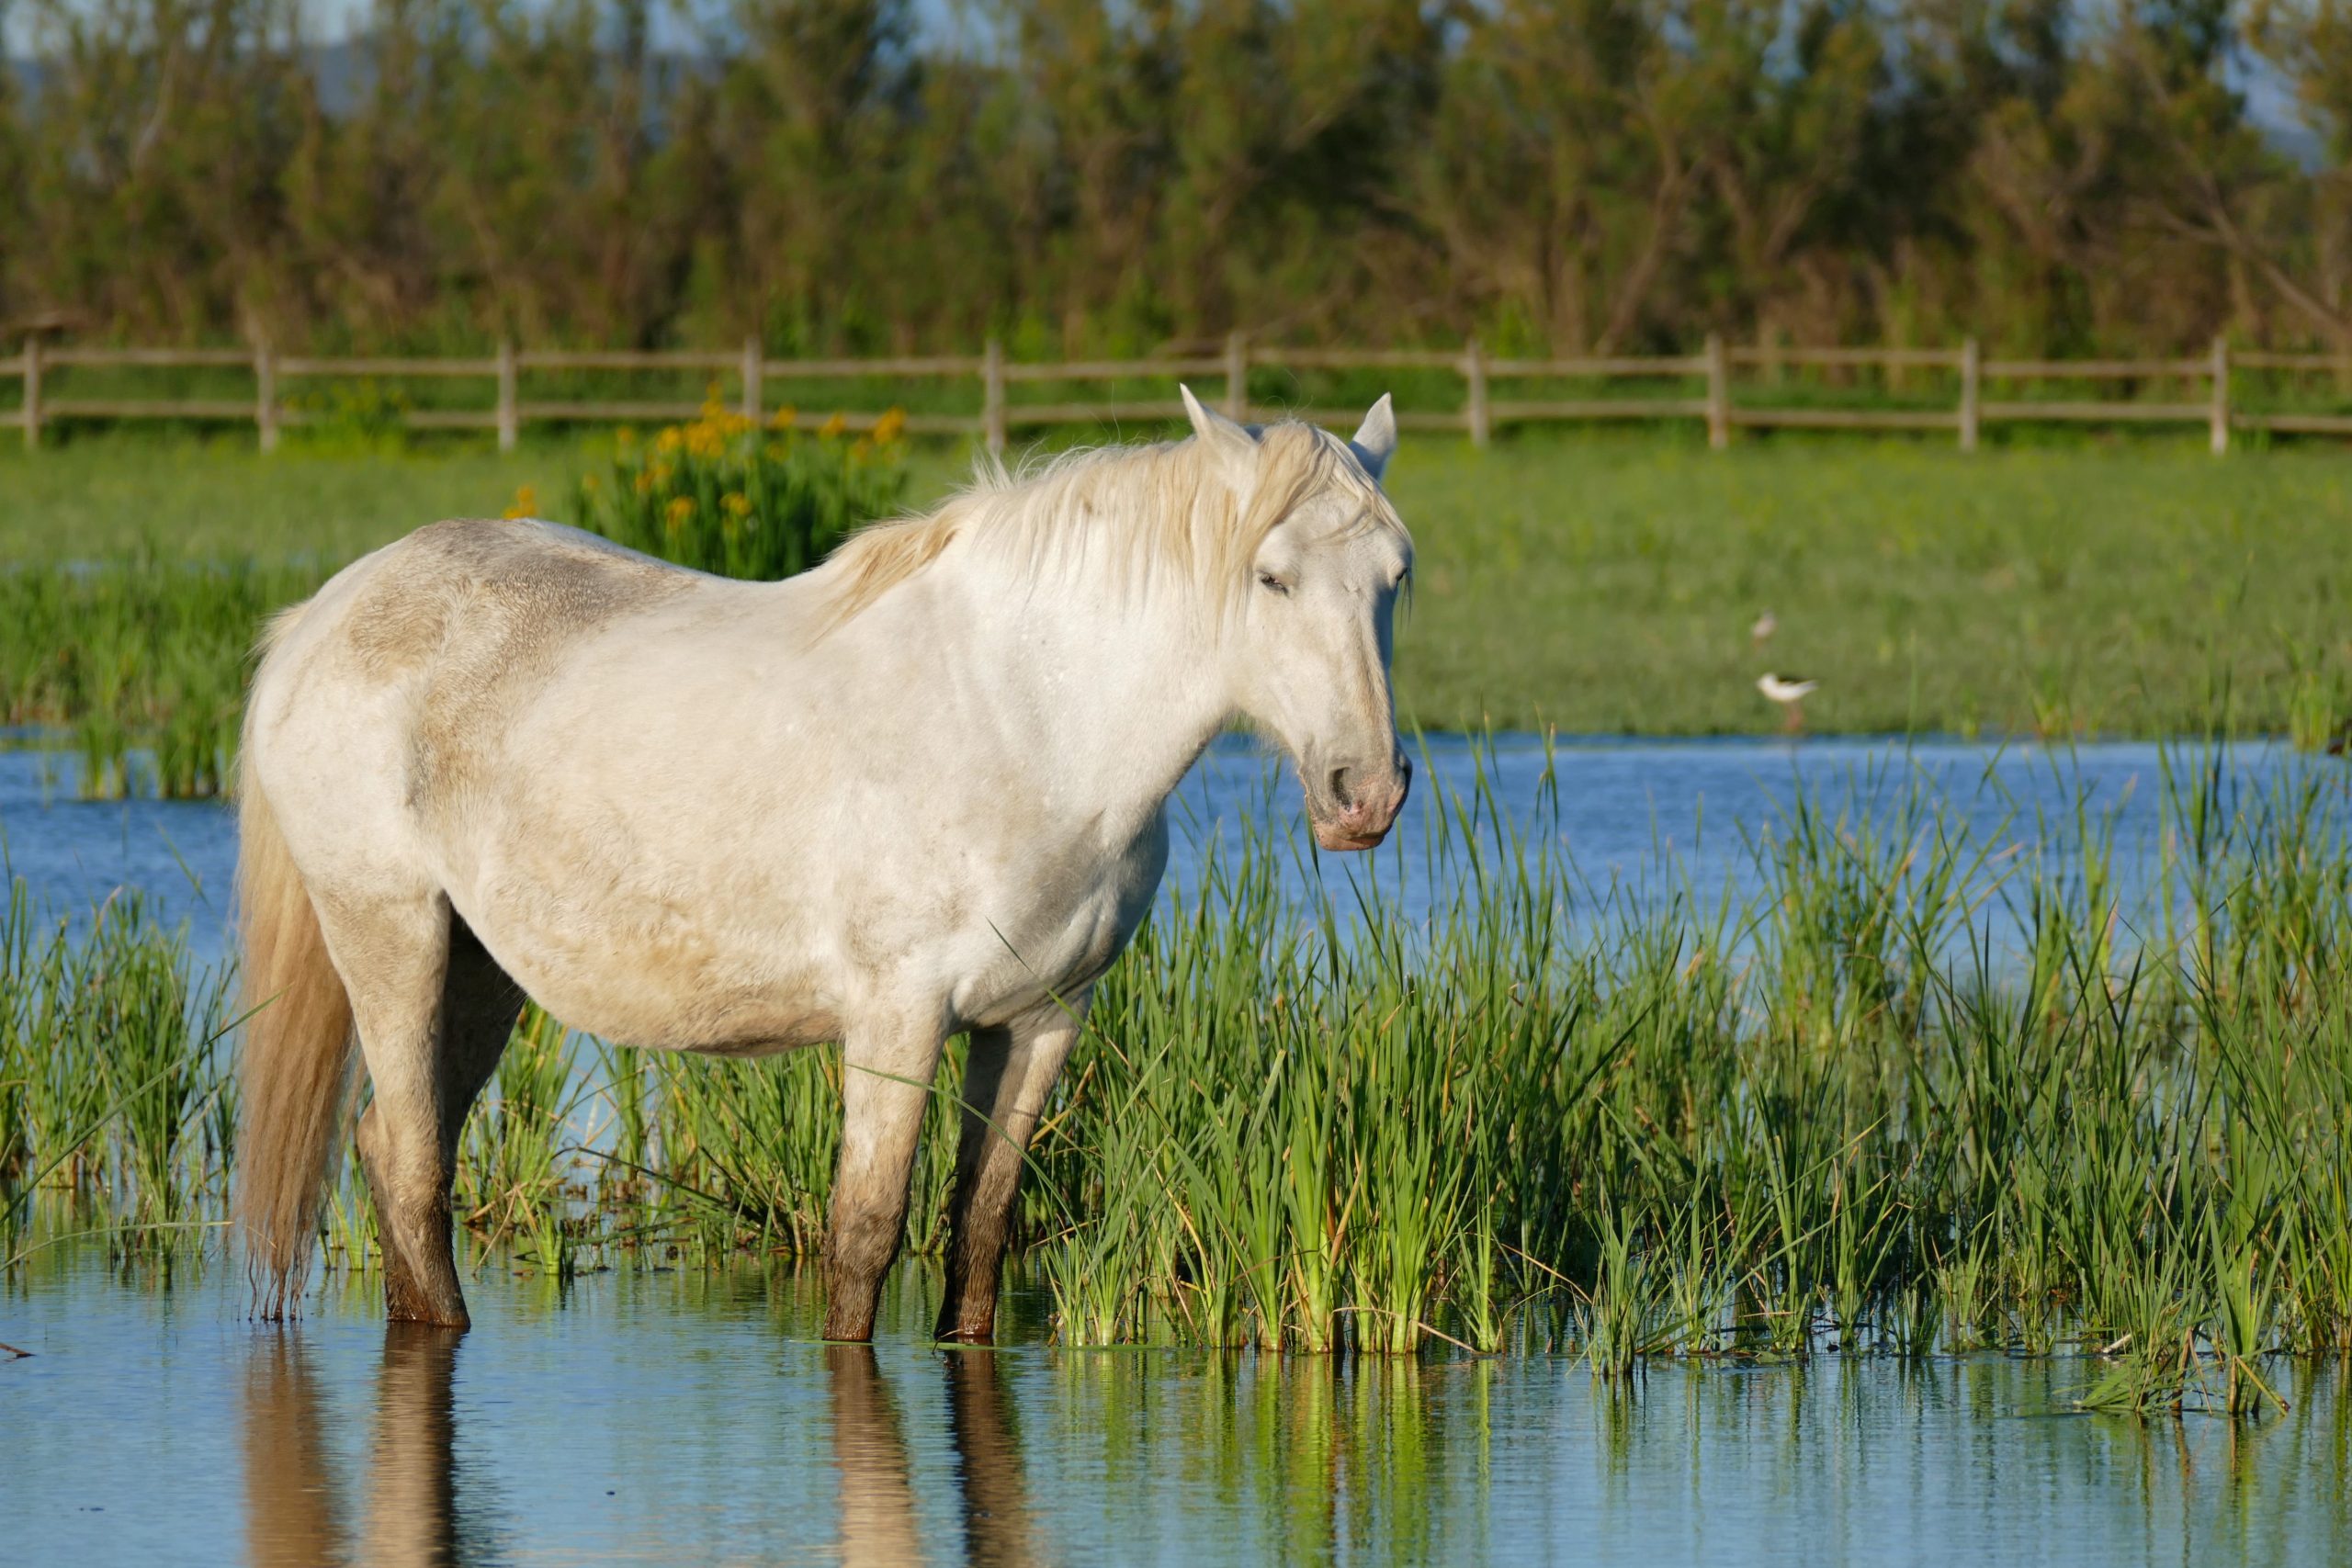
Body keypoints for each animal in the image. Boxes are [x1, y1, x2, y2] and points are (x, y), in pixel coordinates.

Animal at [238, 385, 1411, 1344]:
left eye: (1395, 578)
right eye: (1269, 578)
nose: (1366, 792)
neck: (1025, 719)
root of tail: (326, 613)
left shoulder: (1042, 1020)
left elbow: (980, 1229)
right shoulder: (898, 1019)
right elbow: (865, 1235)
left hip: (483, 970)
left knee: (396, 1145)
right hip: (391, 935)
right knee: (414, 1161)